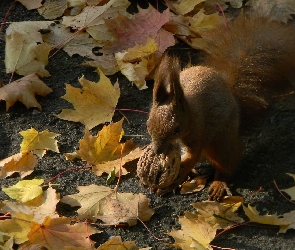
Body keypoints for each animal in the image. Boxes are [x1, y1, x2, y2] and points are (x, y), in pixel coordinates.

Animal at [148, 14, 295, 200]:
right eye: (148, 125)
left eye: (177, 129)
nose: (157, 150)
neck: (190, 111)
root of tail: (231, 95)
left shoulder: (197, 131)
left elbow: (193, 156)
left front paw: (178, 173)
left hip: (220, 140)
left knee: (227, 162)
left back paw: (219, 183)